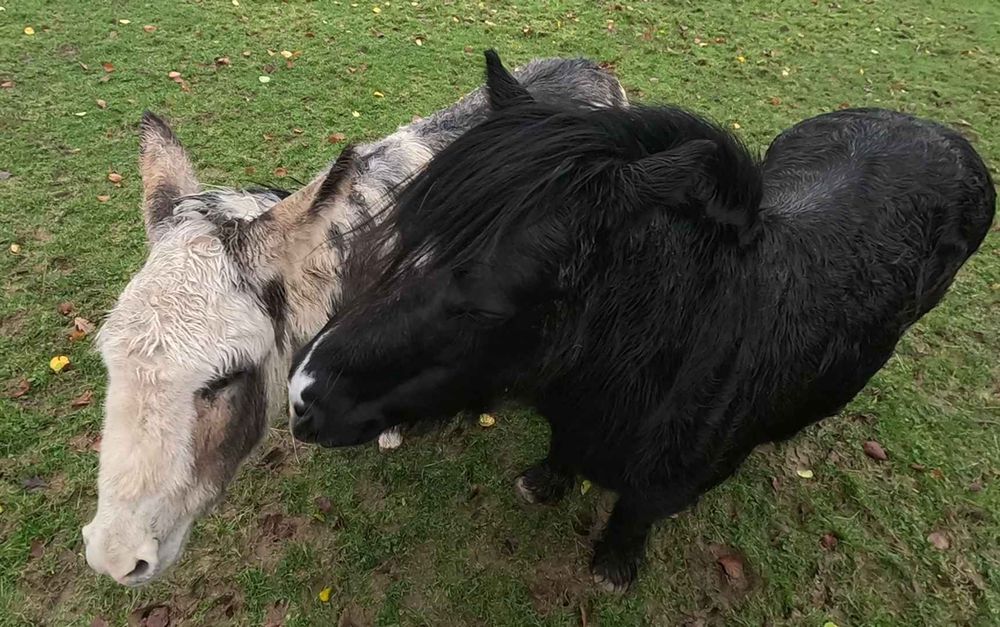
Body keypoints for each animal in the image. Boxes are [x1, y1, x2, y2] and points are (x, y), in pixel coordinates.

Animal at [288, 53, 995, 592]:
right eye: (403, 236)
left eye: (487, 302)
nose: (300, 397)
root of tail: (933, 130)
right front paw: (544, 484)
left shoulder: (664, 485)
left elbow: (634, 514)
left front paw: (613, 568)